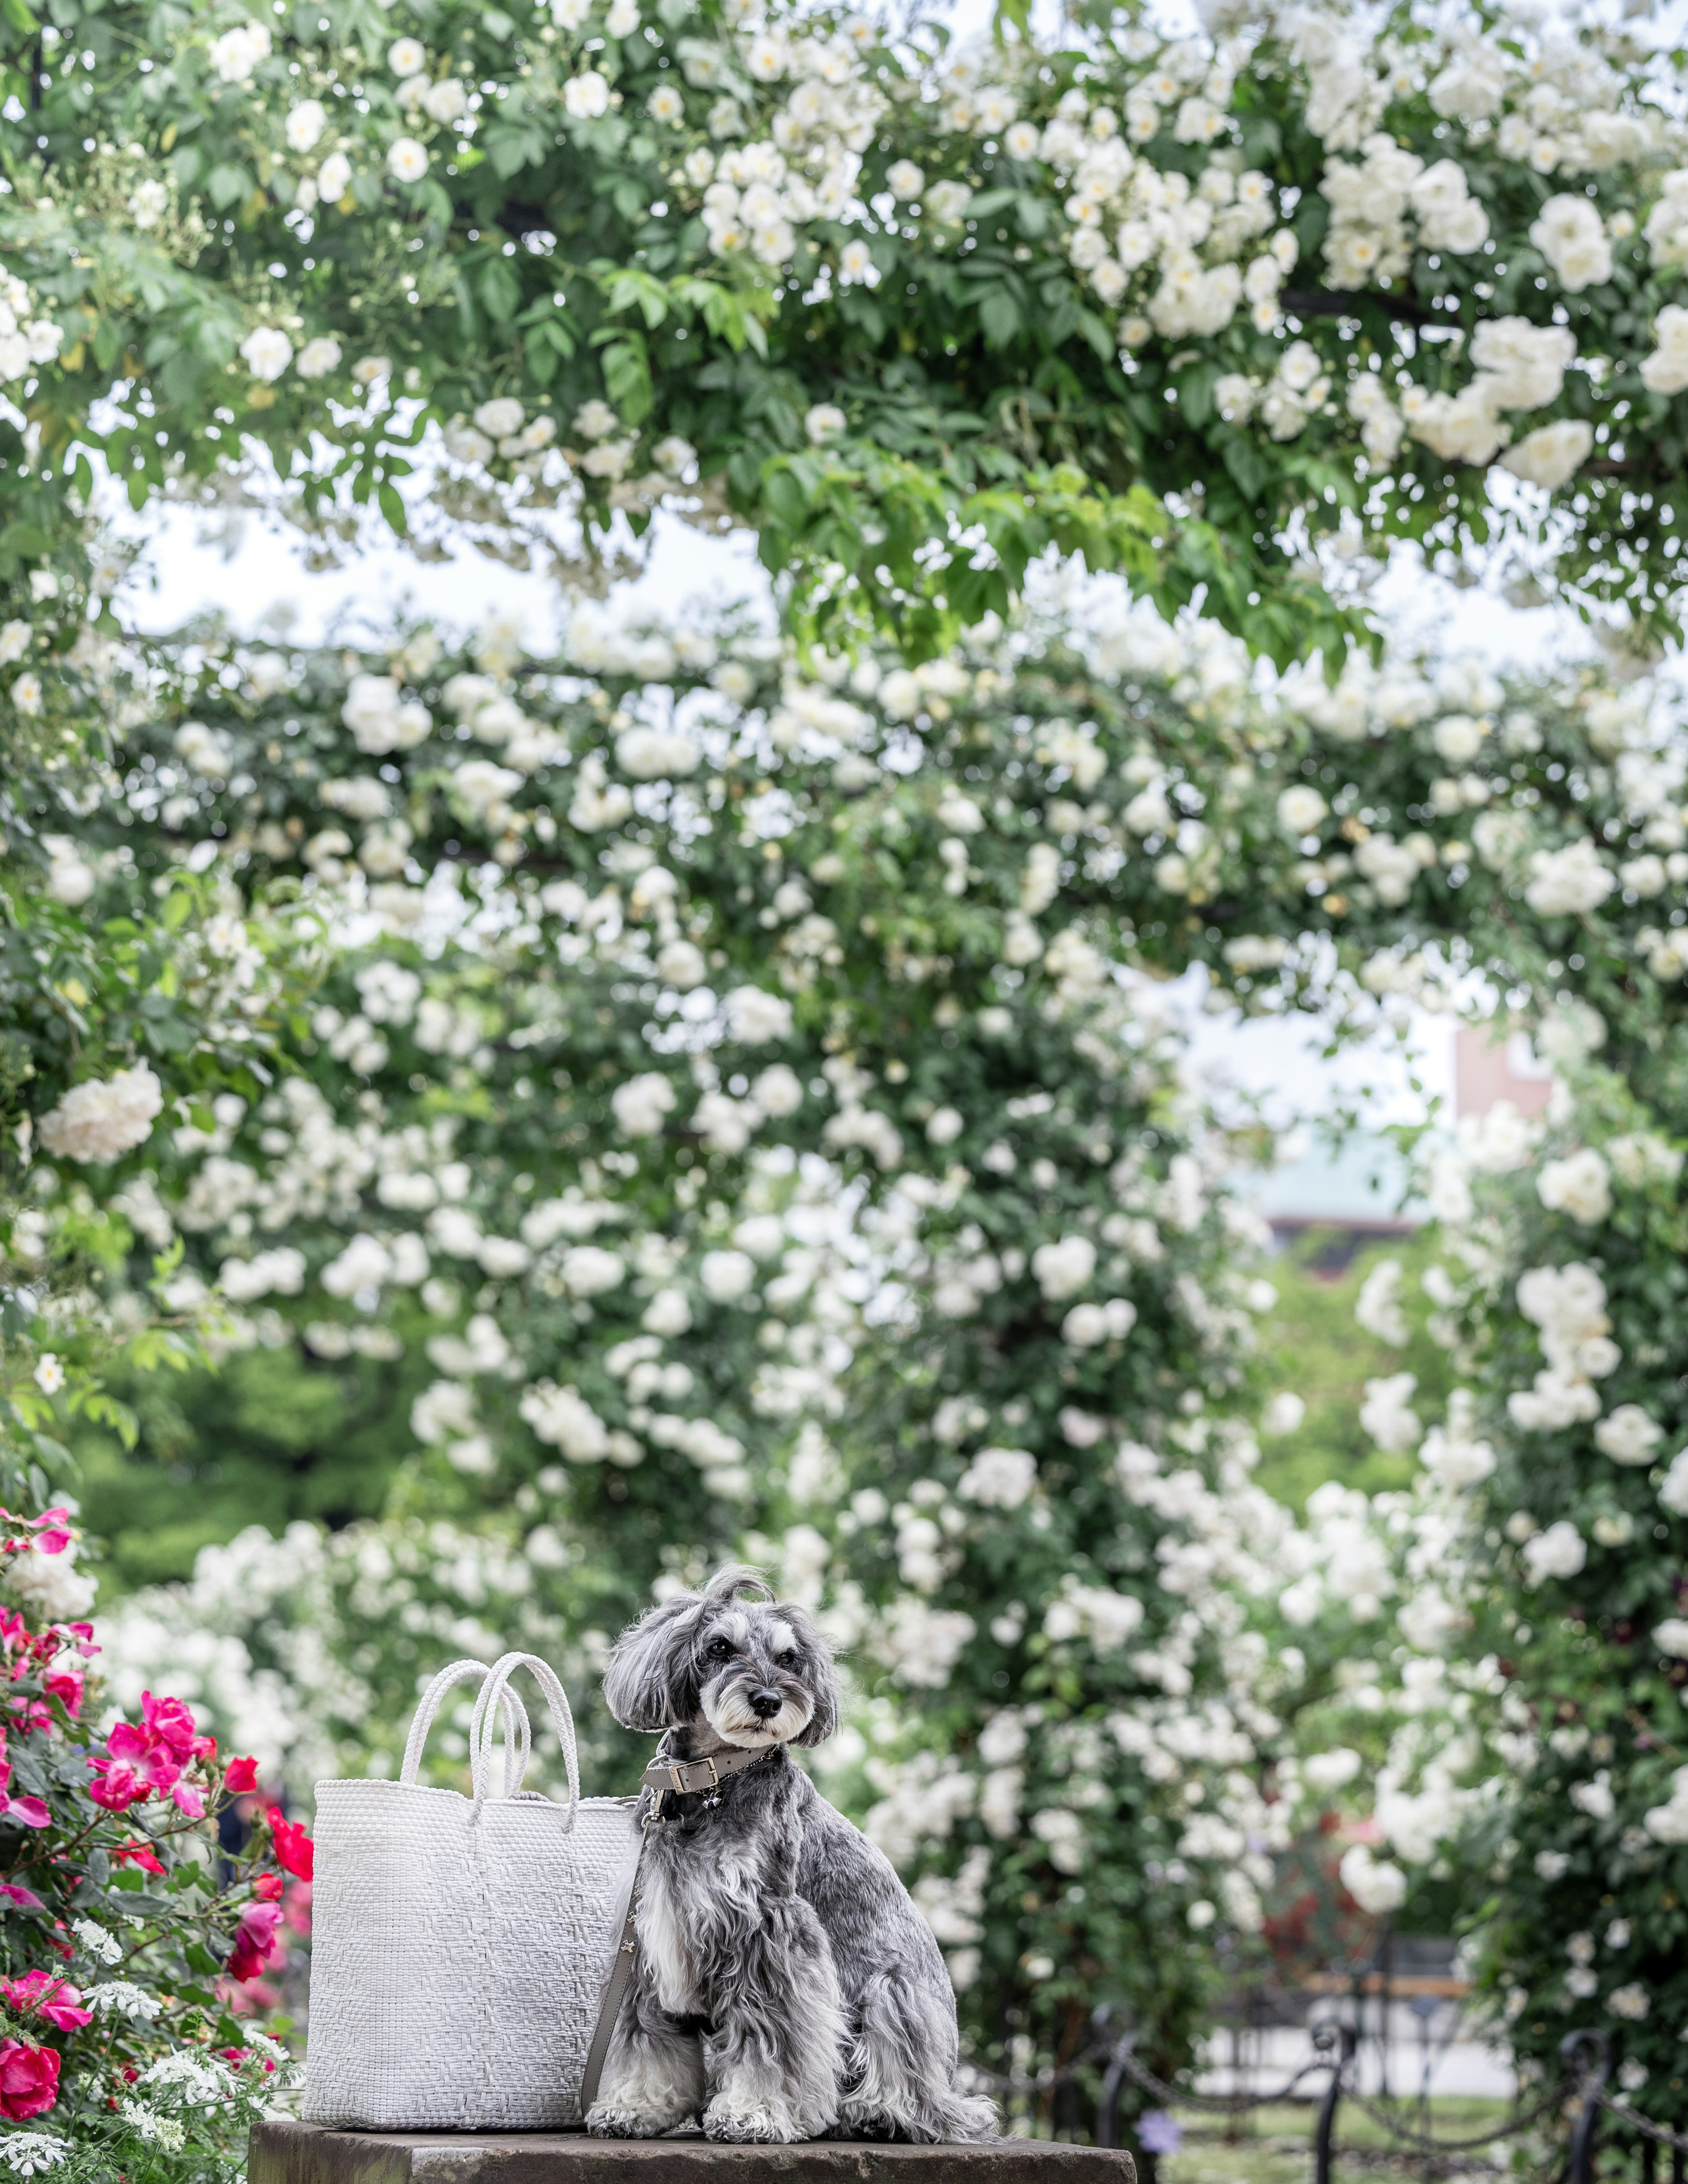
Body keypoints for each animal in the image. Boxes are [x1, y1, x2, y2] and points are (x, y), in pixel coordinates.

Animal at [581, 1563, 996, 2140]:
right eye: (719, 1646)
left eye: (789, 1658)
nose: (769, 1701)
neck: (712, 1782)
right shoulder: (655, 1935)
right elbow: (647, 2035)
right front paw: (636, 2106)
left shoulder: (770, 1932)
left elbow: (770, 2038)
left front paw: (752, 2113)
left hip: (892, 1993)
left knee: (924, 2096)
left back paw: (876, 2112)